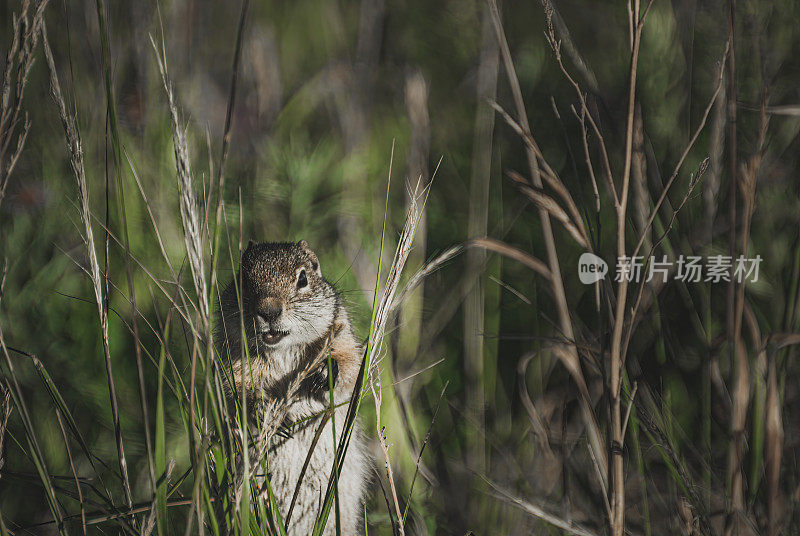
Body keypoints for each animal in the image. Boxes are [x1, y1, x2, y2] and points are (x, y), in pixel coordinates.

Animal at [219, 241, 368, 532]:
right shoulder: (232, 361)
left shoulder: (341, 332)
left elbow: (350, 364)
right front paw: (263, 410)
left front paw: (326, 371)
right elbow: (236, 388)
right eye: (242, 279)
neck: (282, 349)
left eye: (302, 279)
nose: (268, 311)